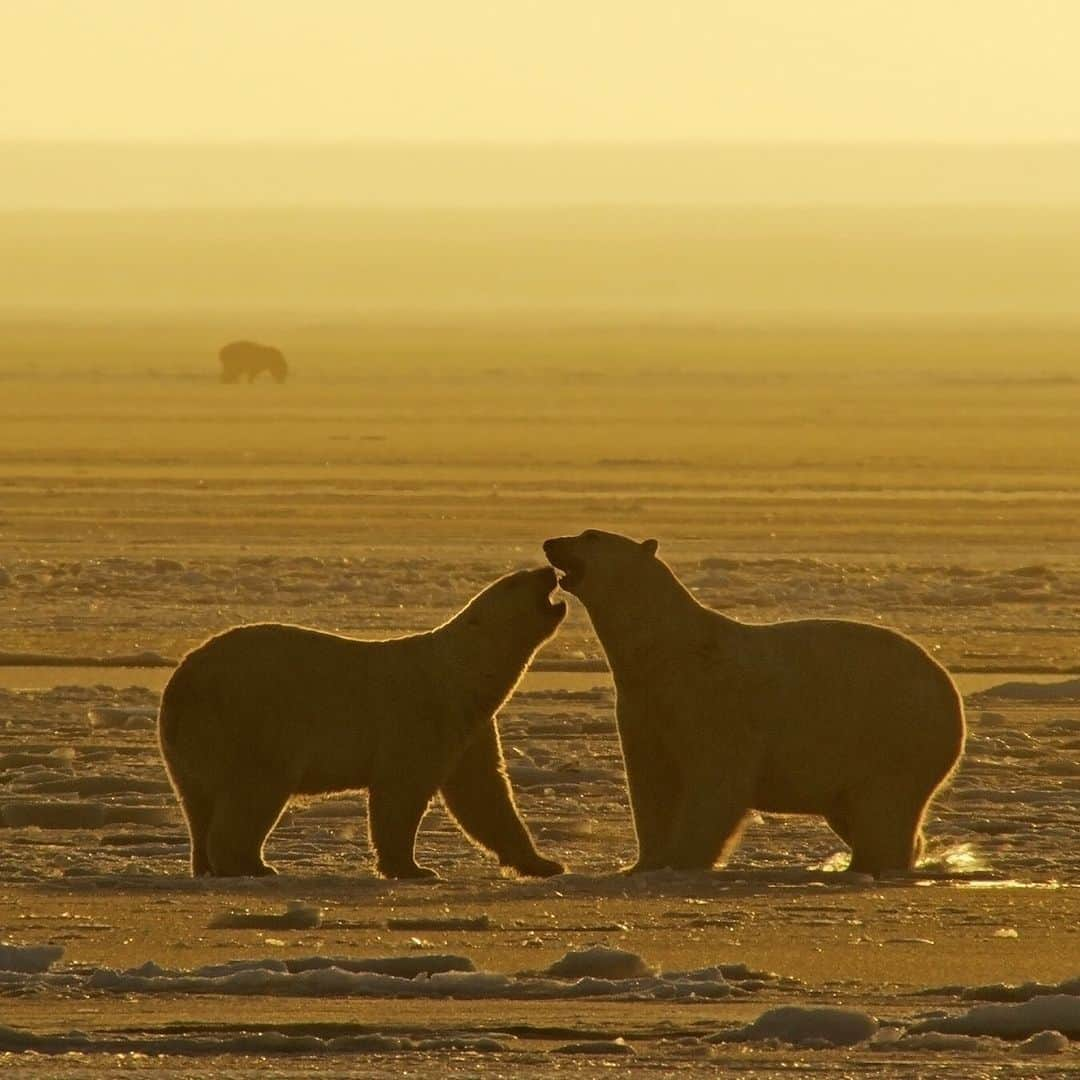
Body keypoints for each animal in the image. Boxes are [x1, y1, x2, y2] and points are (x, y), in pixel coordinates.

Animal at [158, 565, 570, 876]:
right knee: (254, 790)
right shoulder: (421, 714)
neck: (458, 675)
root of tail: (181, 685)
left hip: (191, 748)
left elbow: (483, 794)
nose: (548, 570)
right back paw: (249, 864)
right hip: (251, 722)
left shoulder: (471, 728)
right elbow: (401, 791)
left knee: (198, 802)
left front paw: (545, 863)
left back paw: (206, 865)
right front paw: (413, 868)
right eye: (516, 580)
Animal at [544, 531, 967, 876]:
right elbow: (652, 782)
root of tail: (949, 690)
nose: (550, 543)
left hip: (892, 737)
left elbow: (716, 780)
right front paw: (643, 863)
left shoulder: (715, 702)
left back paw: (868, 864)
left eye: (590, 536)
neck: (667, 650)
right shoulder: (644, 707)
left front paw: (683, 859)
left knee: (883, 809)